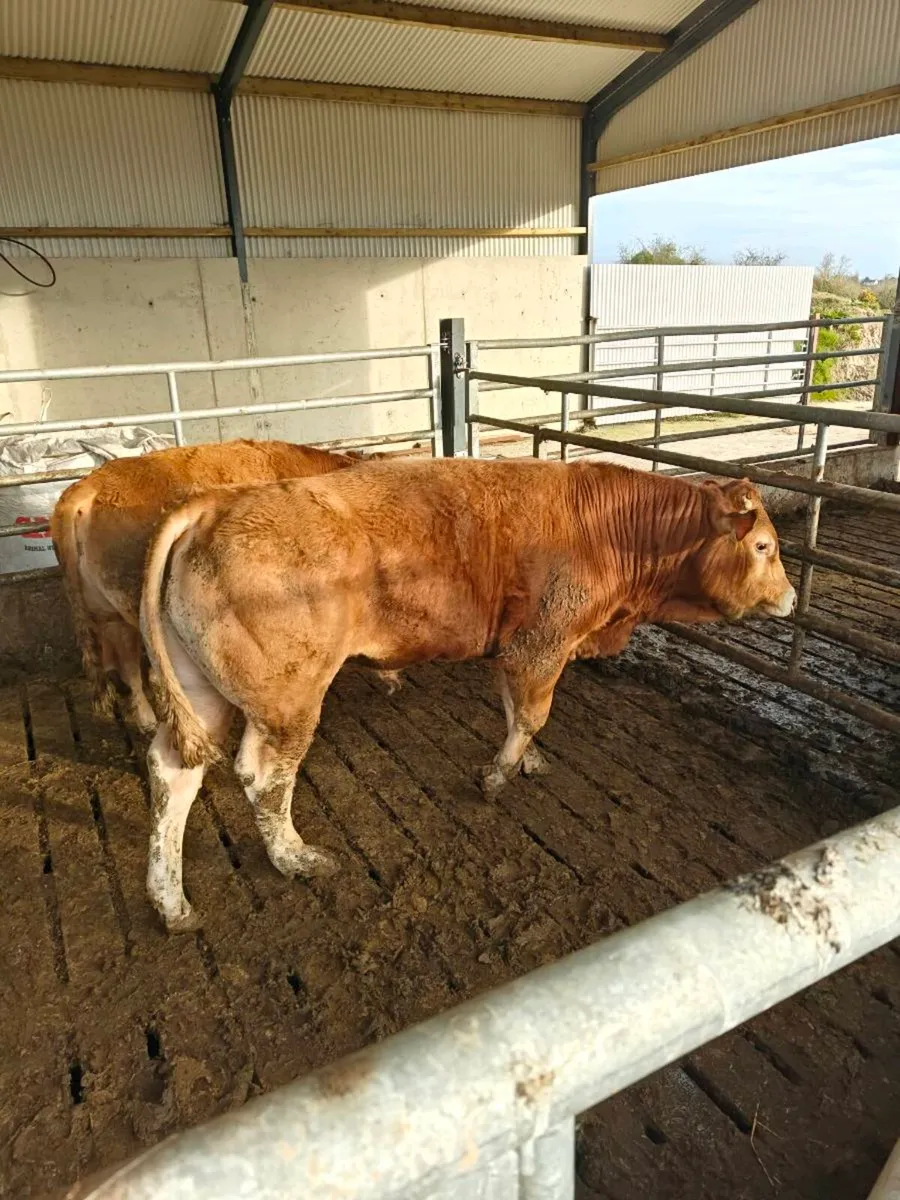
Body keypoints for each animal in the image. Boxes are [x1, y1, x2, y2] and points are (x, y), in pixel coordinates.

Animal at [140, 456, 795, 932]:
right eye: (763, 546)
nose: (790, 598)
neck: (608, 530)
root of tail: (215, 503)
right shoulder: (542, 644)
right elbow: (532, 714)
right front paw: (498, 775)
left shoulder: (513, 648)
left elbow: (512, 707)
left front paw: (527, 762)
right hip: (288, 702)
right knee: (264, 778)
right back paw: (295, 857)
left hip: (203, 694)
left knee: (172, 773)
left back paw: (170, 901)